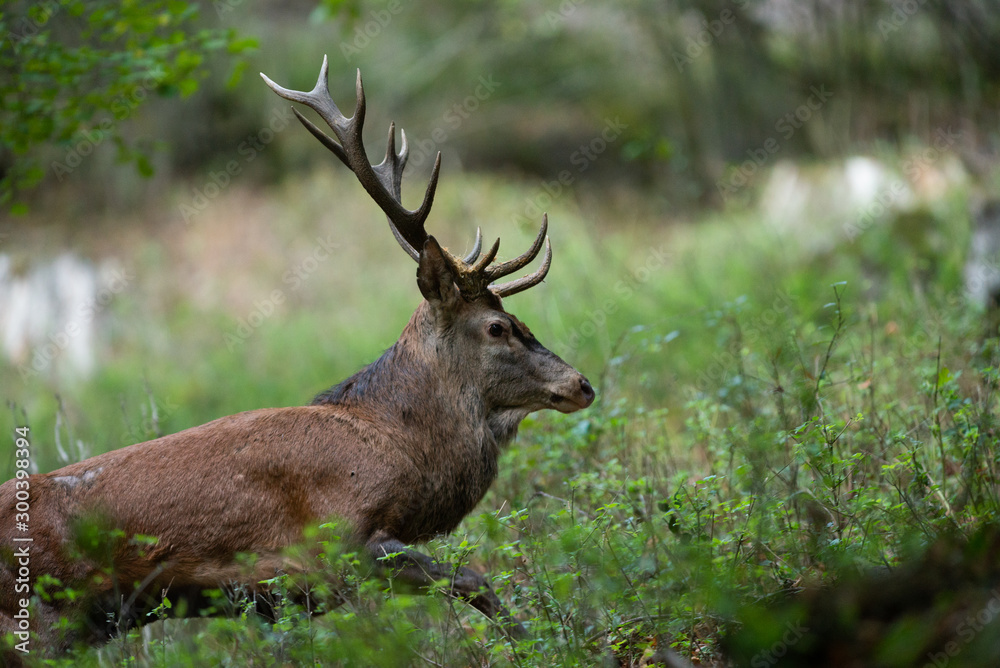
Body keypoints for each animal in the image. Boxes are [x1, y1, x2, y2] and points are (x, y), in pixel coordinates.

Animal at [0, 57, 595, 664]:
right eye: (498, 326)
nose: (582, 384)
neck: (401, 448)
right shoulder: (341, 540)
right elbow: (474, 581)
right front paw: (553, 643)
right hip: (43, 618)